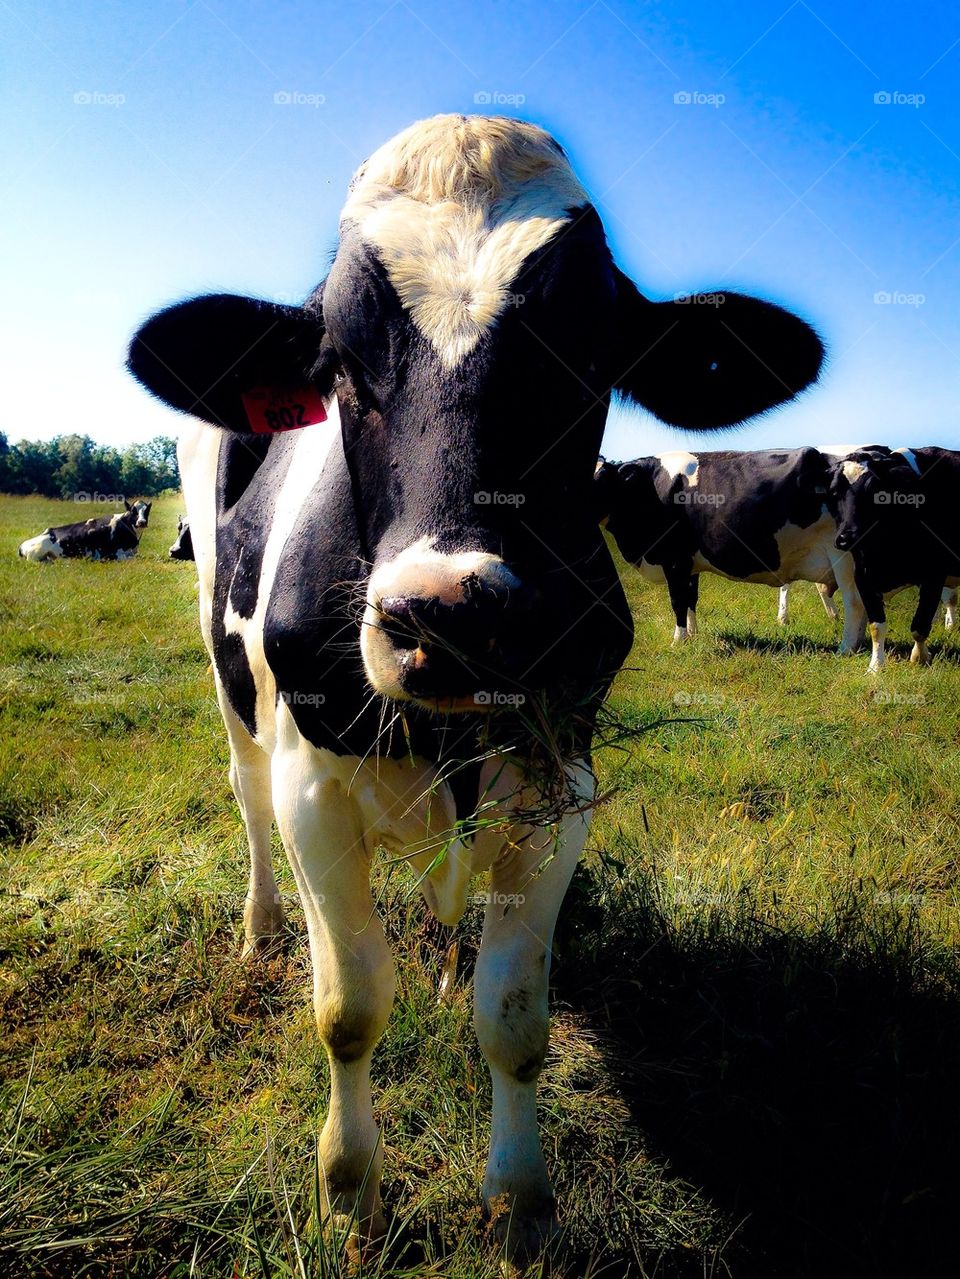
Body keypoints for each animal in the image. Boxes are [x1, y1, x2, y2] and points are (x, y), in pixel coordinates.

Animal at [598, 450, 869, 649]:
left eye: (600, 480)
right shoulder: (689, 564)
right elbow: (691, 599)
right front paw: (693, 635)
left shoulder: (674, 560)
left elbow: (678, 601)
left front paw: (678, 641)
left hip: (844, 557)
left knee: (855, 604)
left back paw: (847, 648)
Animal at [828, 447, 960, 670]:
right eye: (835, 492)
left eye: (874, 491)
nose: (847, 537)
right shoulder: (863, 575)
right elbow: (876, 626)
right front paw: (875, 666)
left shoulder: (934, 574)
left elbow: (919, 626)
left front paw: (919, 657)